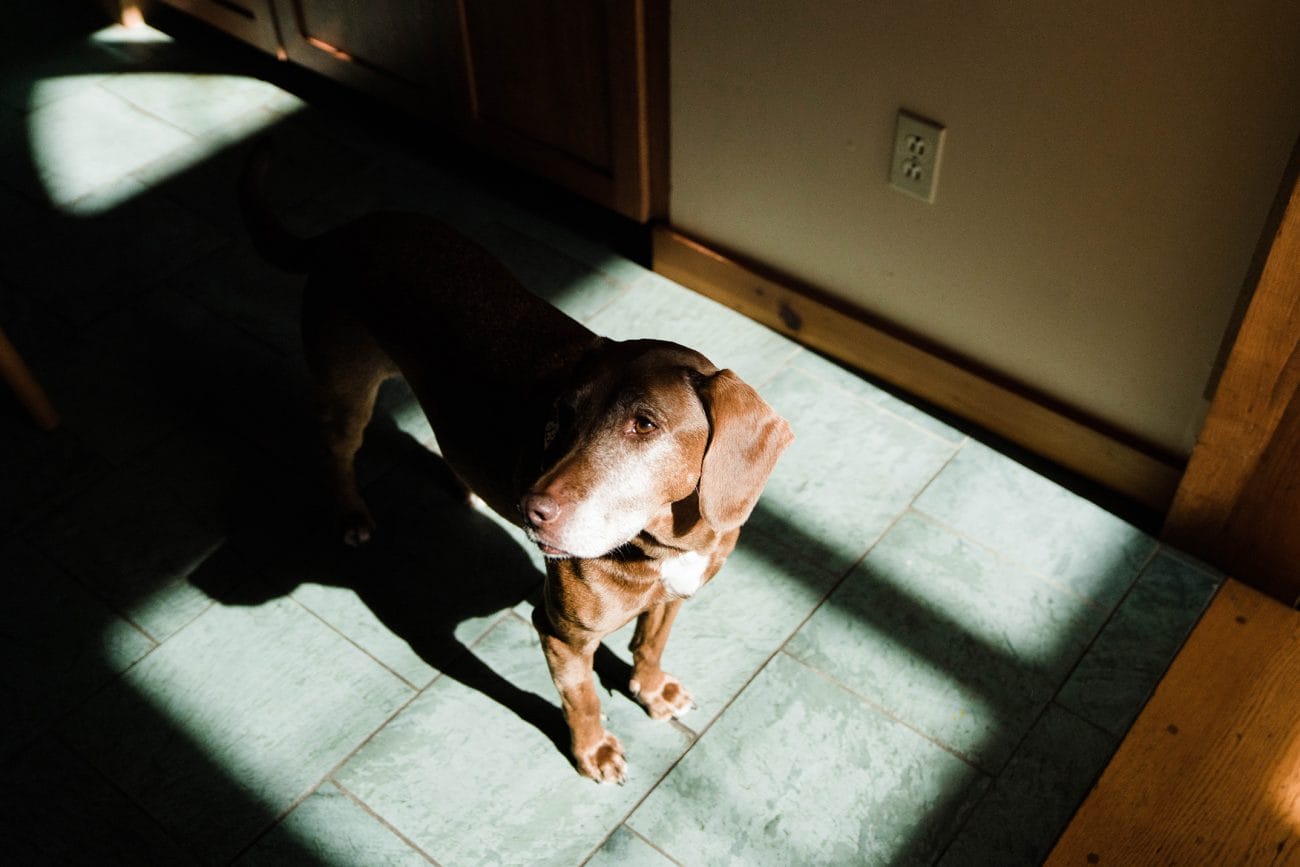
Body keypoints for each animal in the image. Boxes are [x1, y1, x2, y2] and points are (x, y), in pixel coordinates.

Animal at [241, 145, 790, 785]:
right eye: (561, 416)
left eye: (645, 424)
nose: (533, 509)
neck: (662, 547)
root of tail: (349, 229)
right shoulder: (559, 634)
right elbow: (583, 698)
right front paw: (593, 749)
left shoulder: (674, 598)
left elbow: (649, 645)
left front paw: (651, 690)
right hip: (347, 394)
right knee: (337, 453)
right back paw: (352, 515)